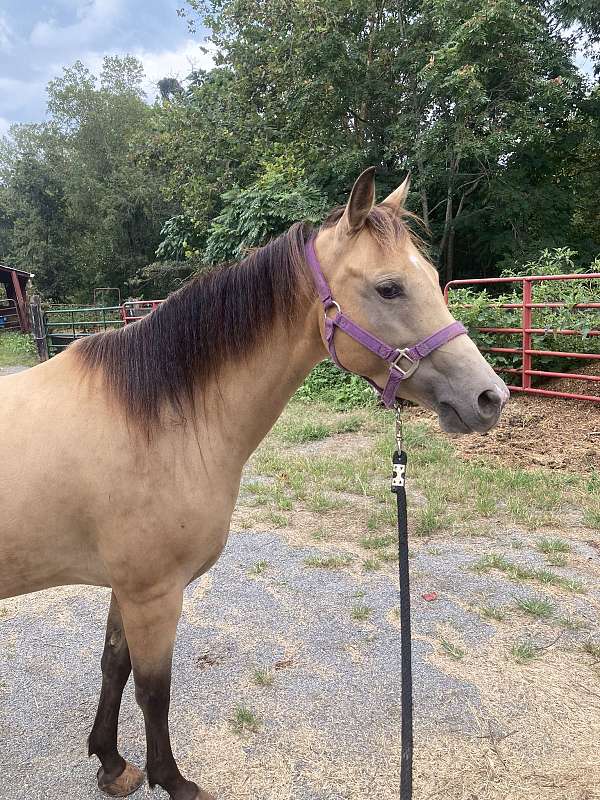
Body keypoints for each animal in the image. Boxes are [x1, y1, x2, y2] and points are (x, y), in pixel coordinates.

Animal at [0, 172, 508, 800]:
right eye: (389, 288)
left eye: (434, 279)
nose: (489, 397)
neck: (156, 419)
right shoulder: (153, 593)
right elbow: (153, 691)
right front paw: (175, 782)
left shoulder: (128, 588)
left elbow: (114, 666)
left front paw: (112, 764)